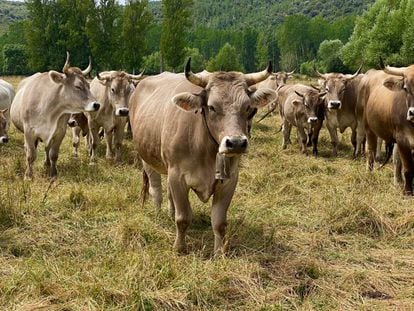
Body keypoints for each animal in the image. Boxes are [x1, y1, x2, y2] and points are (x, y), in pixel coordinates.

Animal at [129, 59, 276, 256]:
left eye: (247, 107)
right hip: (147, 160)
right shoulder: (178, 176)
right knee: (156, 190)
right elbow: (183, 218)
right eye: (212, 107)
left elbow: (219, 222)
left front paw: (219, 252)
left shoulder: (229, 181)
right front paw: (179, 248)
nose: (236, 143)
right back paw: (159, 215)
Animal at [360, 66, 414, 196]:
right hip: (369, 128)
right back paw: (369, 173)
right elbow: (408, 169)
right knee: (371, 151)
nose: (412, 113)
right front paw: (408, 192)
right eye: (405, 88)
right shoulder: (403, 140)